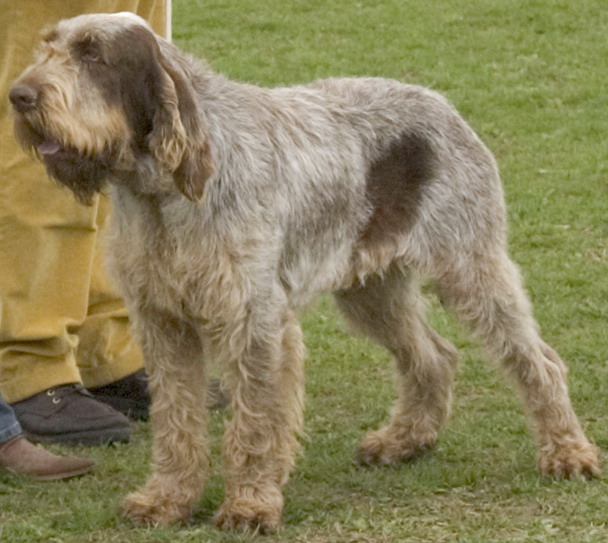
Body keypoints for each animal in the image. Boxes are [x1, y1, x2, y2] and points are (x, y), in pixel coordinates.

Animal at [9, 11, 600, 532]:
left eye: (93, 54)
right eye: (48, 47)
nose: (19, 96)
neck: (161, 195)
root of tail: (440, 102)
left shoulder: (256, 322)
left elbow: (253, 428)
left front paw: (250, 505)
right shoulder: (163, 324)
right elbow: (177, 425)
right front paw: (167, 500)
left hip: (471, 271)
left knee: (539, 363)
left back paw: (567, 452)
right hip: (371, 292)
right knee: (434, 356)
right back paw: (404, 441)